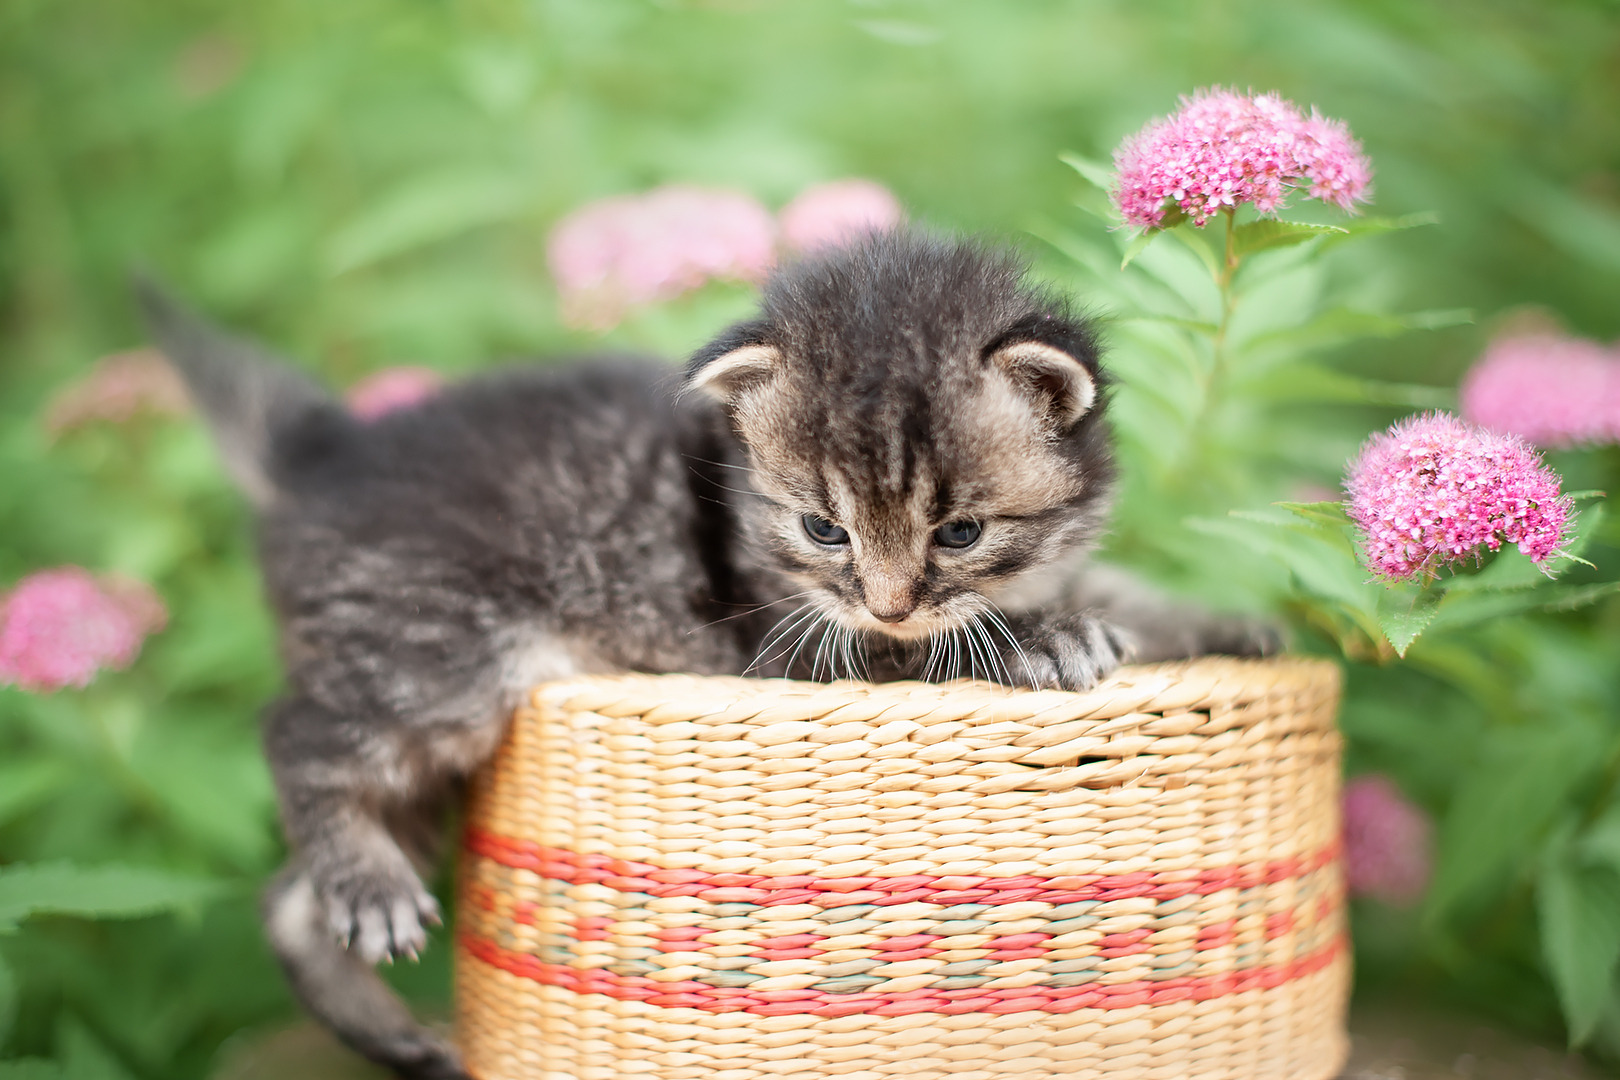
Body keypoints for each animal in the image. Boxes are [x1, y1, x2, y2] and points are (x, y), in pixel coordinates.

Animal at [142, 229, 1263, 1080]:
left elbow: (1104, 589)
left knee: (287, 899)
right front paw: (1045, 642)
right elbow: (930, 655)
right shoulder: (787, 643)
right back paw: (367, 888)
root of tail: (326, 453)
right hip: (440, 657)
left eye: (959, 532)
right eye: (823, 530)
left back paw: (387, 1018)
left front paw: (1219, 621)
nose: (892, 602)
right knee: (298, 733)